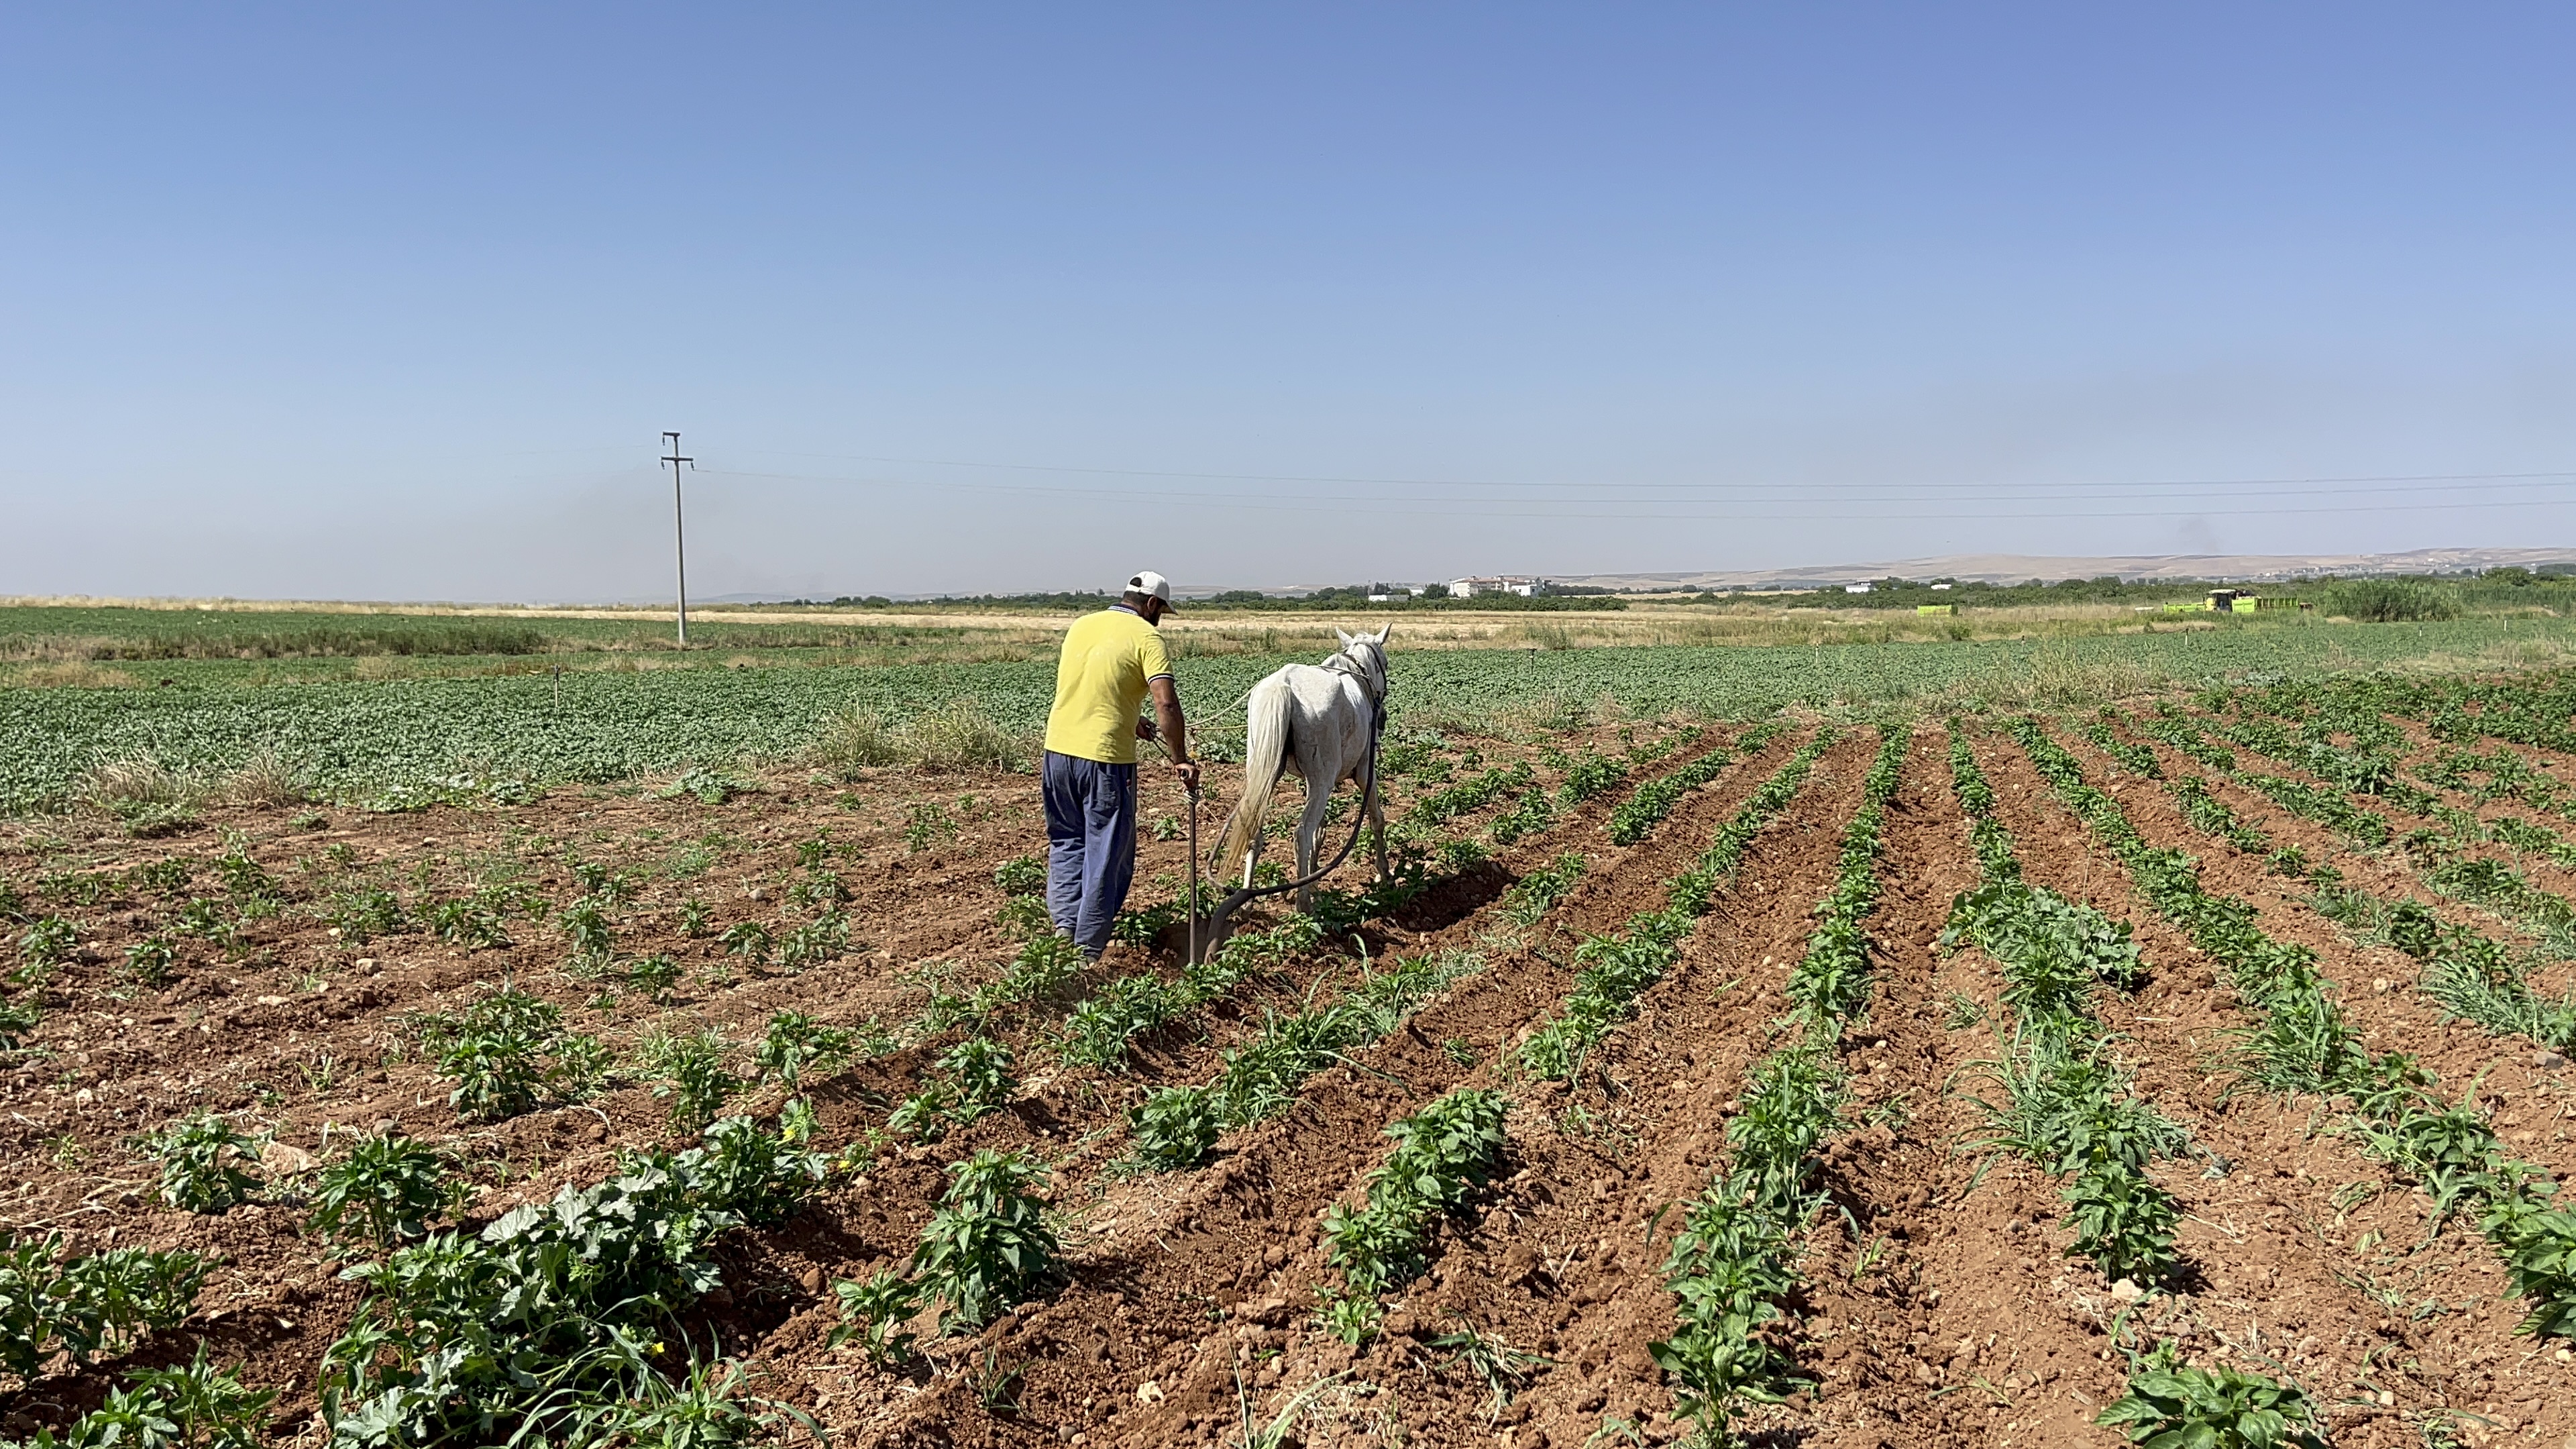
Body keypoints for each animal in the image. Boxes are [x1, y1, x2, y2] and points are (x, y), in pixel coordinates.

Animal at [1205, 624, 1391, 912]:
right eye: (1386, 663)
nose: (1382, 716)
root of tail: (1284, 685)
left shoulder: (1309, 782)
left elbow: (1320, 831)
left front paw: (1314, 881)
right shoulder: (1364, 772)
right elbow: (1376, 820)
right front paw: (1385, 874)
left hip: (1266, 774)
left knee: (1256, 827)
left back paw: (1247, 900)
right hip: (1322, 782)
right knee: (1302, 832)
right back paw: (1303, 903)